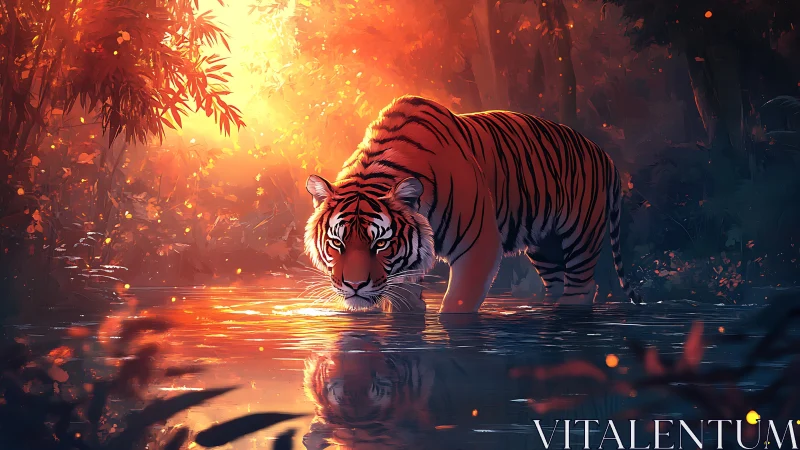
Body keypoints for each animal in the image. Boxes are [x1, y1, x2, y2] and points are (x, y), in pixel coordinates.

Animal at [304, 95, 641, 313]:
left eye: (380, 244)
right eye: (337, 243)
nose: (355, 286)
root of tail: (604, 153)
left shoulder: (479, 246)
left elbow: (457, 305)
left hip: (581, 236)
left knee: (582, 289)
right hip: (545, 246)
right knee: (556, 284)